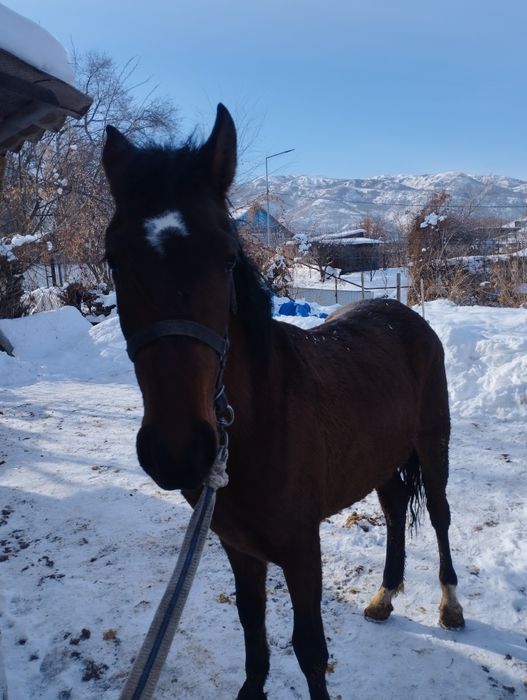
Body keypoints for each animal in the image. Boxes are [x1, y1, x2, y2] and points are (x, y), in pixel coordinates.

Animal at [102, 104, 464, 700]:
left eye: (228, 260)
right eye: (113, 258)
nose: (176, 451)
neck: (258, 424)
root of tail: (404, 314)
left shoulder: (300, 550)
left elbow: (310, 650)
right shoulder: (238, 547)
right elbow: (254, 634)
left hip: (432, 445)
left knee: (437, 514)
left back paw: (450, 605)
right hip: (380, 457)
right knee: (393, 510)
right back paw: (384, 595)